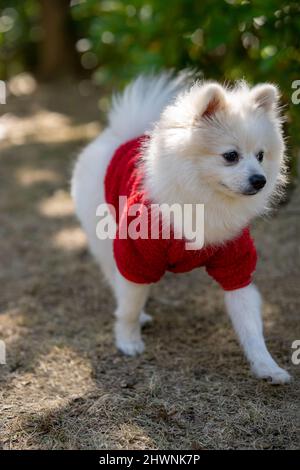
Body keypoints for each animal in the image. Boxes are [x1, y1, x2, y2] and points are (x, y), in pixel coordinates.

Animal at [71, 71, 290, 384]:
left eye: (260, 155)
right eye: (231, 156)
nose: (260, 180)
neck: (205, 199)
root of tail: (120, 136)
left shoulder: (235, 264)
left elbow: (249, 322)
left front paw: (266, 366)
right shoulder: (137, 253)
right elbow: (129, 304)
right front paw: (128, 339)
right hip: (105, 234)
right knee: (116, 277)